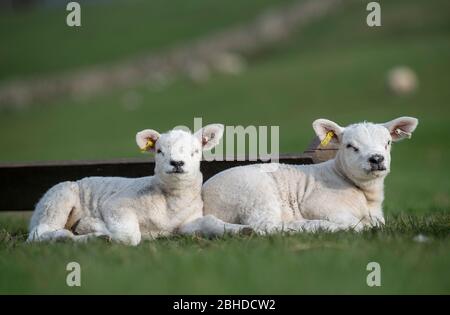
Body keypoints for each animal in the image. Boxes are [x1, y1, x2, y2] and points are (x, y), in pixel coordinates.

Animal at [26, 124, 248, 247]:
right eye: (159, 151)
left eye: (195, 151)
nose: (177, 163)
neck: (169, 203)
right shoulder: (116, 205)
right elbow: (129, 236)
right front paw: (90, 226)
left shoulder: (187, 223)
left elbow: (210, 222)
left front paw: (242, 230)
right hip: (57, 200)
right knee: (38, 235)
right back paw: (75, 236)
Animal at [201, 117, 418, 233]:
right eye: (350, 146)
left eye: (387, 143)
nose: (376, 159)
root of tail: (204, 194)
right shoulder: (318, 204)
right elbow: (355, 224)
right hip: (255, 195)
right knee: (266, 226)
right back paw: (313, 226)